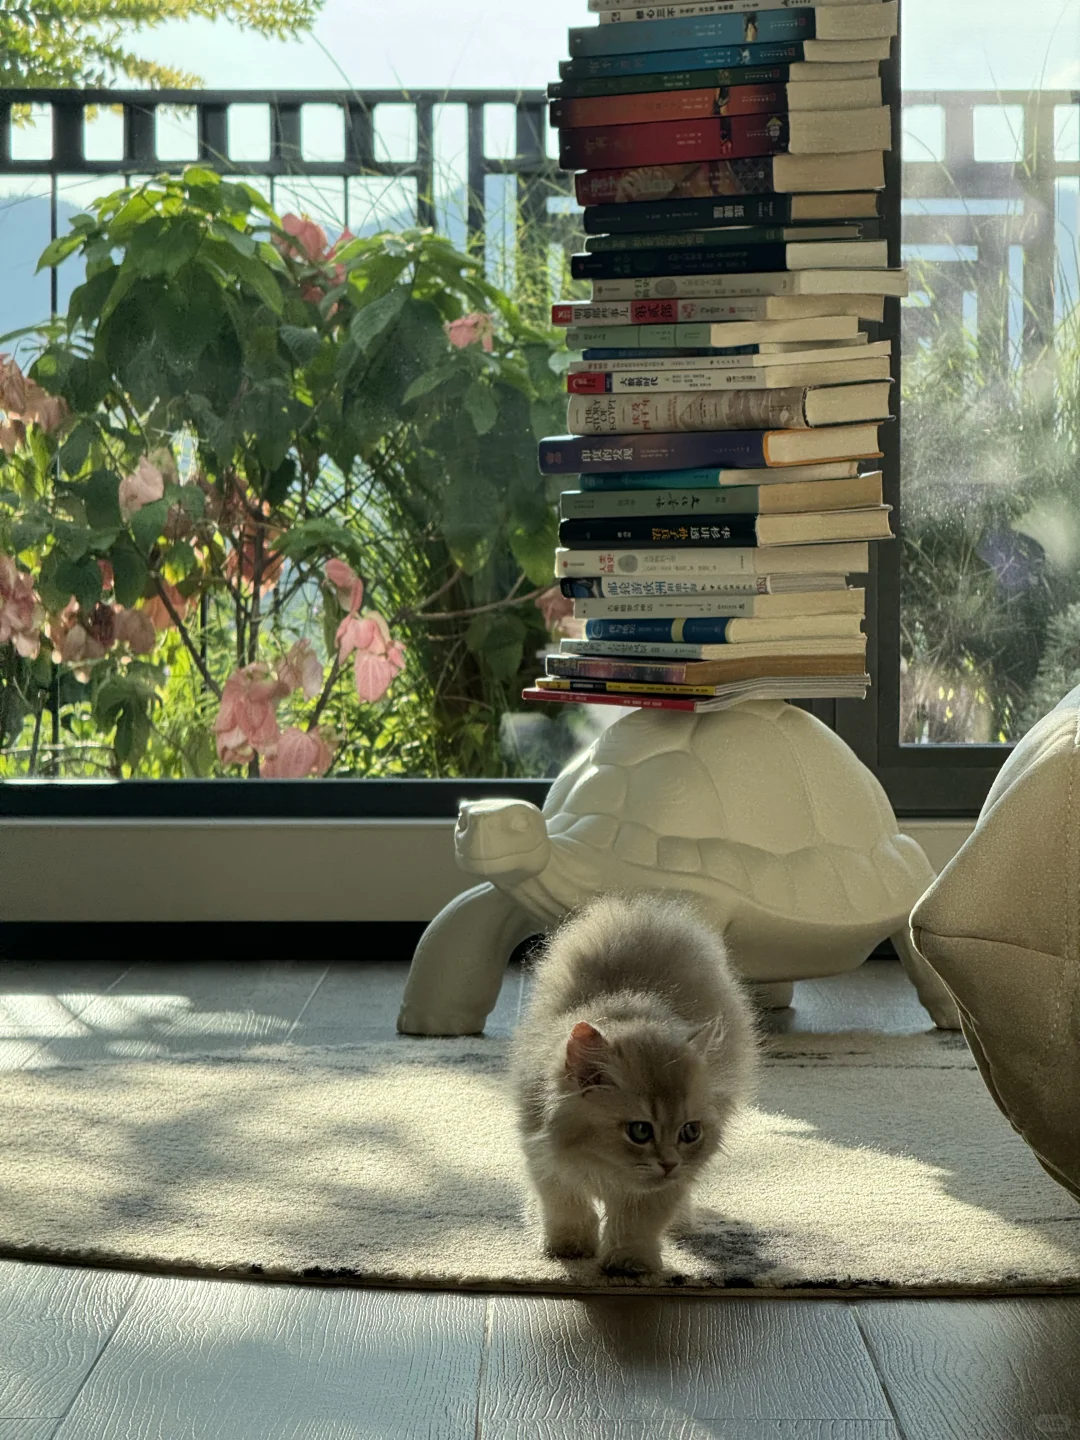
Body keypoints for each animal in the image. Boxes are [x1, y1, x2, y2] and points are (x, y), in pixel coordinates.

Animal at [509, 892, 759, 1277]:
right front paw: (569, 1247)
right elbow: (566, 1206)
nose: (669, 1163)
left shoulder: (661, 1189)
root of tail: (644, 912)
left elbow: (636, 1222)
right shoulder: (544, 1158)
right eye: (640, 1131)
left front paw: (630, 1261)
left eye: (690, 1132)